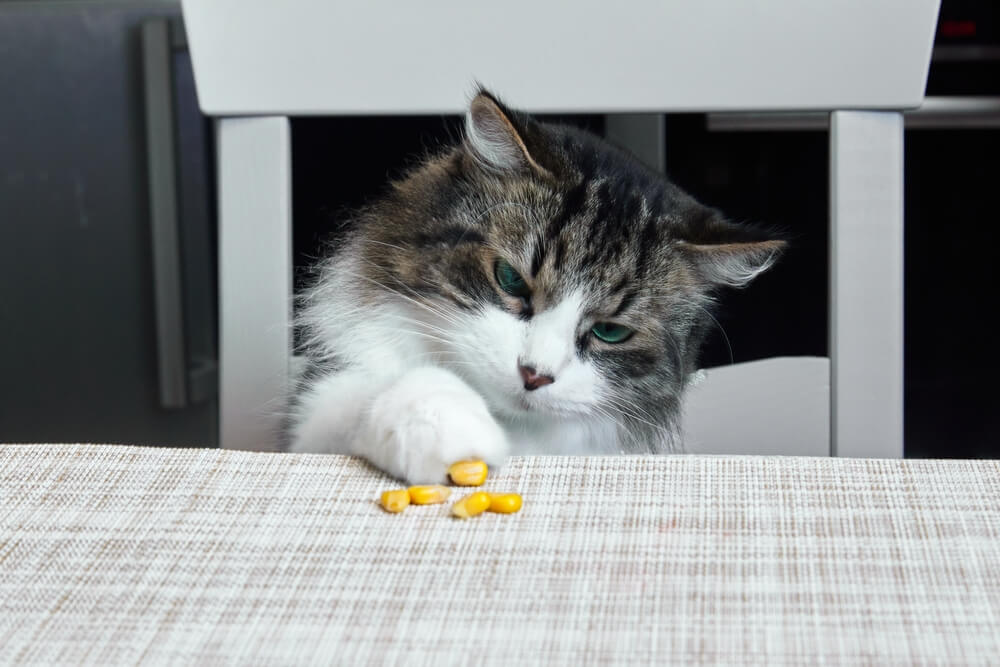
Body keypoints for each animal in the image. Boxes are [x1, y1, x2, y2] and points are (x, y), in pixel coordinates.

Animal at [286, 90, 784, 486]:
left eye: (610, 332)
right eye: (510, 279)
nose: (534, 375)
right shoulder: (312, 412)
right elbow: (392, 387)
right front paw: (450, 432)